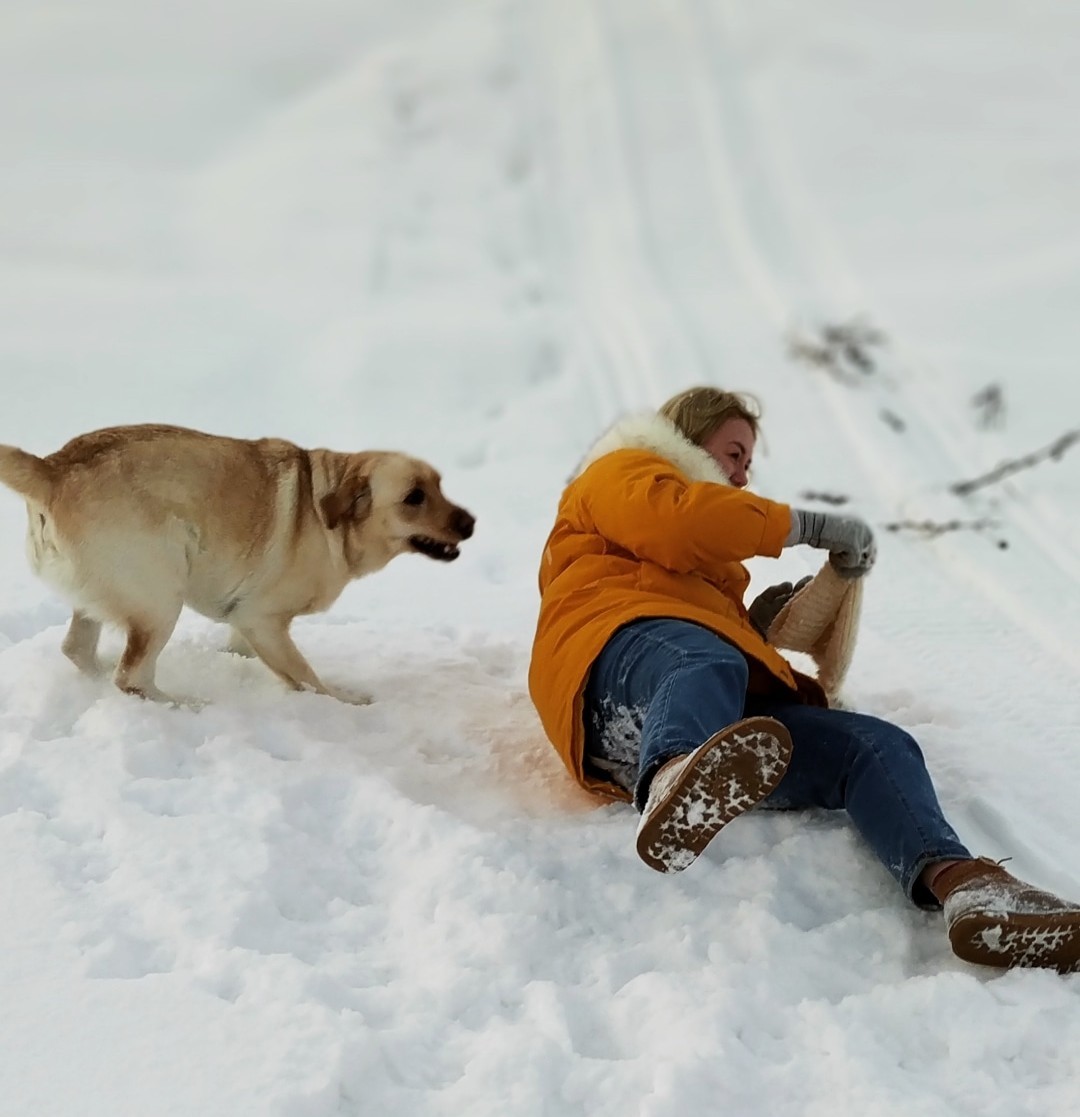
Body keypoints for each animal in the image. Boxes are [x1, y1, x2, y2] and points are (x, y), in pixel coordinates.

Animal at [0, 422, 478, 701]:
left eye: (439, 485)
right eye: (414, 497)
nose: (471, 522)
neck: (325, 509)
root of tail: (52, 469)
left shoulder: (246, 621)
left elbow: (247, 650)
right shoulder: (261, 619)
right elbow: (307, 676)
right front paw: (343, 700)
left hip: (109, 602)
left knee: (78, 650)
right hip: (162, 599)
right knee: (131, 676)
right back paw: (181, 705)